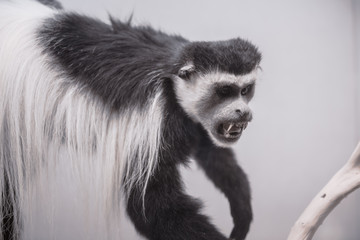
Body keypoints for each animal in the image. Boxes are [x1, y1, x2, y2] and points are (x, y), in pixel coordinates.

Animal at [0, 0, 262, 240]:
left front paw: (242, 210)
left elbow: (211, 152)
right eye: (224, 91)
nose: (243, 112)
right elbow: (151, 206)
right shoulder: (155, 121)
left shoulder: (192, 120)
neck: (172, 77)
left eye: (245, 90)